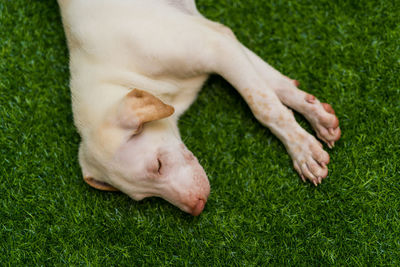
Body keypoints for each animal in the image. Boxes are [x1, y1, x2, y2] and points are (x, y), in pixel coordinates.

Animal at [58, 0, 340, 216]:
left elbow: (264, 103)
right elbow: (271, 84)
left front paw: (302, 149)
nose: (197, 207)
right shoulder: (216, 37)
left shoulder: (215, 46)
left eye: (158, 165)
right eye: (145, 197)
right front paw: (315, 116)